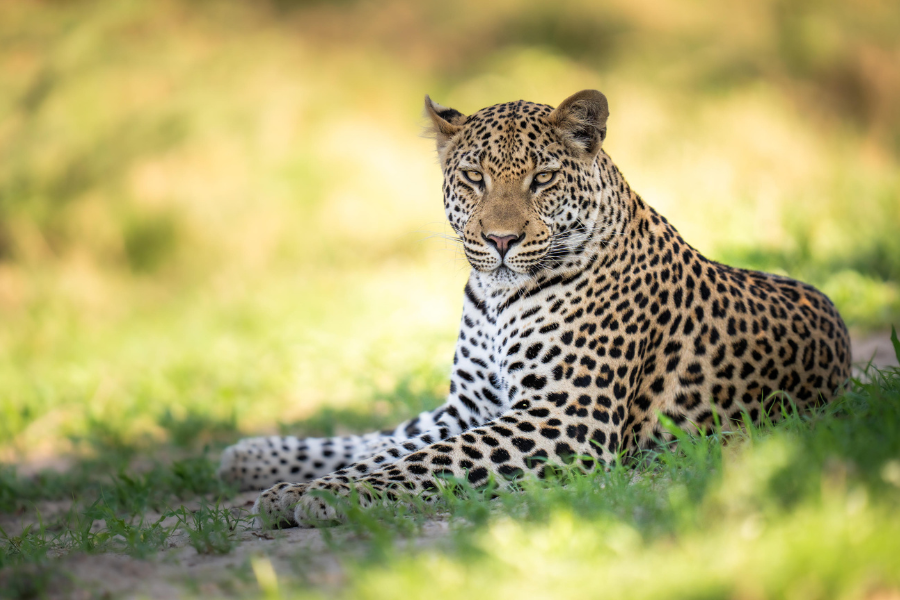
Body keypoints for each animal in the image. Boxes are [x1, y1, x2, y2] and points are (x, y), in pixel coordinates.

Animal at [217, 89, 851, 528]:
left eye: (542, 179)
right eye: (473, 178)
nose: (500, 240)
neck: (496, 300)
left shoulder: (564, 418)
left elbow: (430, 460)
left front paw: (322, 494)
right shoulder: (471, 406)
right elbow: (401, 450)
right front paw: (297, 490)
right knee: (378, 435)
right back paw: (247, 456)